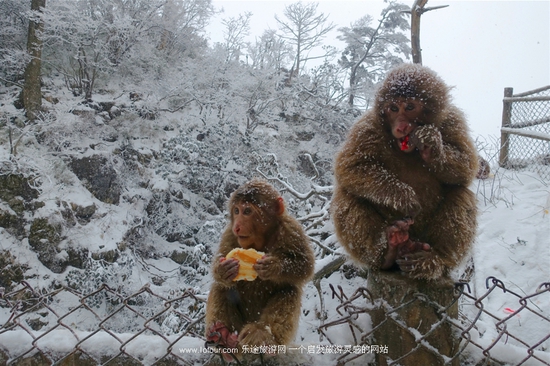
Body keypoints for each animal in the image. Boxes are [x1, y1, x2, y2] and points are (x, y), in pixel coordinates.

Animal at [205, 179, 314, 362]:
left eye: (247, 211)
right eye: (237, 211)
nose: (237, 226)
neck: (261, 240)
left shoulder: (292, 230)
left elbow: (305, 266)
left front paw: (273, 267)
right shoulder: (229, 234)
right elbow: (220, 265)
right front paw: (223, 270)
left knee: (289, 289)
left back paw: (264, 336)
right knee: (222, 287)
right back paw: (224, 337)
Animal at [332, 63, 478, 280]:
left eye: (409, 107)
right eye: (393, 108)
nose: (401, 126)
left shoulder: (452, 121)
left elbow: (467, 167)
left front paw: (432, 146)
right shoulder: (367, 127)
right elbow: (350, 167)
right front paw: (404, 197)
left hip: (424, 239)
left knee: (461, 192)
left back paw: (434, 260)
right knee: (347, 194)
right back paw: (387, 251)